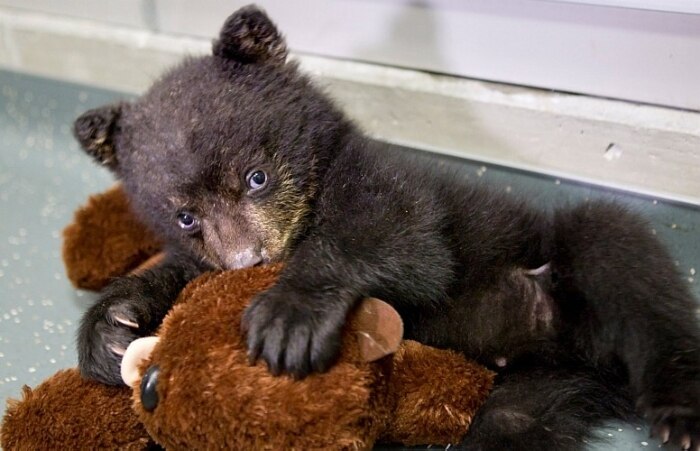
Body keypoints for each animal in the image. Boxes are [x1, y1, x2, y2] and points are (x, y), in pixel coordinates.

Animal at [72, 5, 700, 450]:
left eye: (257, 177)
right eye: (186, 216)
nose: (252, 261)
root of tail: (581, 360)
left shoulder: (387, 178)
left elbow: (402, 237)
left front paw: (289, 314)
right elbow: (183, 270)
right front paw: (110, 326)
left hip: (578, 266)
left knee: (620, 258)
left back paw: (678, 407)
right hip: (537, 389)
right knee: (512, 425)